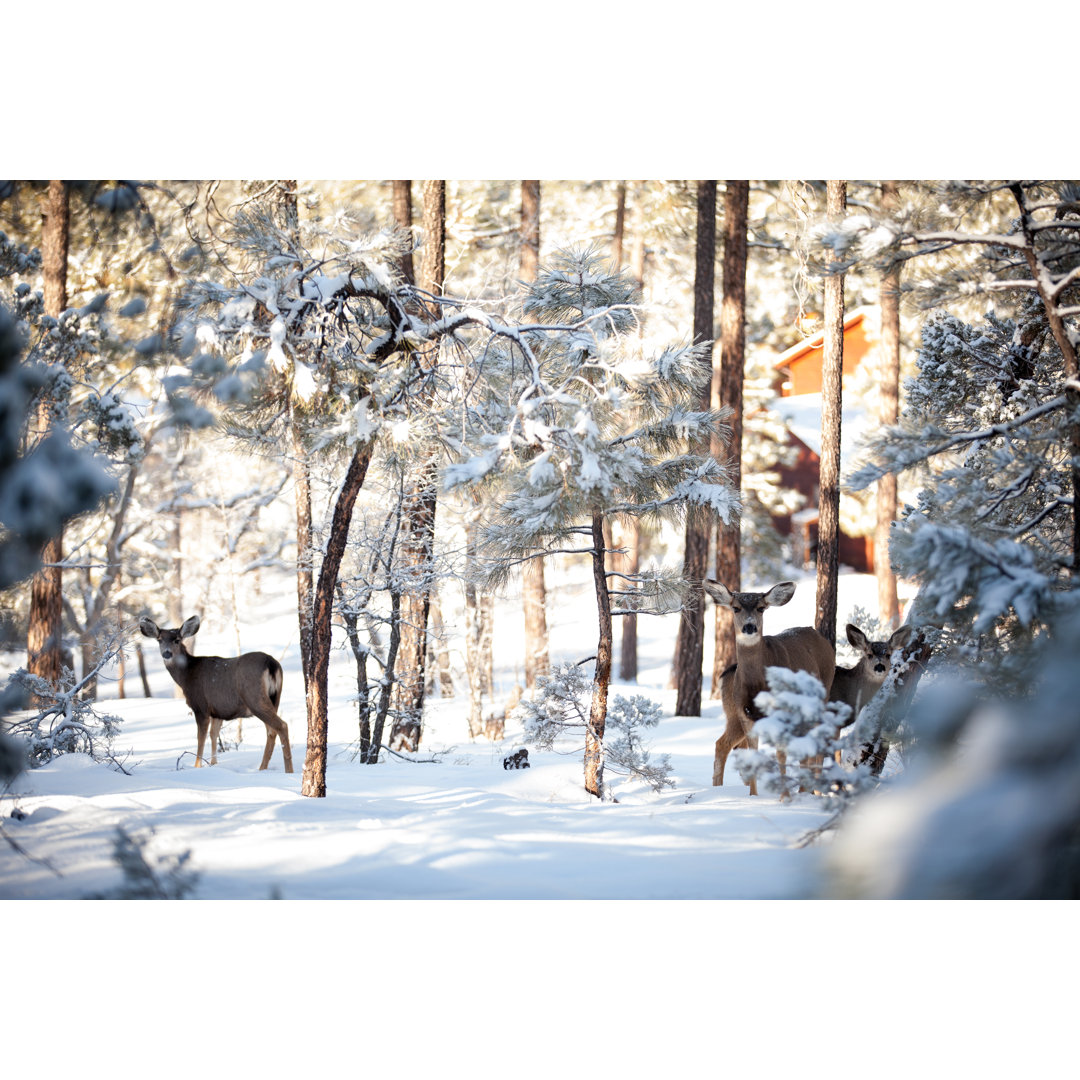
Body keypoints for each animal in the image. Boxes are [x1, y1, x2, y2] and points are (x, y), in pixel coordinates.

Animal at [139, 613, 291, 773]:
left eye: (177, 640)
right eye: (159, 640)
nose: (167, 653)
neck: (186, 675)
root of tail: (271, 664)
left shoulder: (200, 706)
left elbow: (201, 738)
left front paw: (197, 766)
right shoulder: (218, 711)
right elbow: (213, 735)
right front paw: (213, 764)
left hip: (254, 698)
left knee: (281, 726)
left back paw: (288, 770)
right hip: (275, 698)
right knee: (271, 731)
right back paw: (262, 768)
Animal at [704, 578, 838, 799]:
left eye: (761, 608)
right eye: (736, 608)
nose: (750, 626)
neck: (756, 685)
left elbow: (781, 753)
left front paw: (785, 797)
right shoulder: (745, 713)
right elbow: (754, 754)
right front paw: (753, 796)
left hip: (823, 693)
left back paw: (811, 791)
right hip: (735, 715)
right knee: (723, 744)